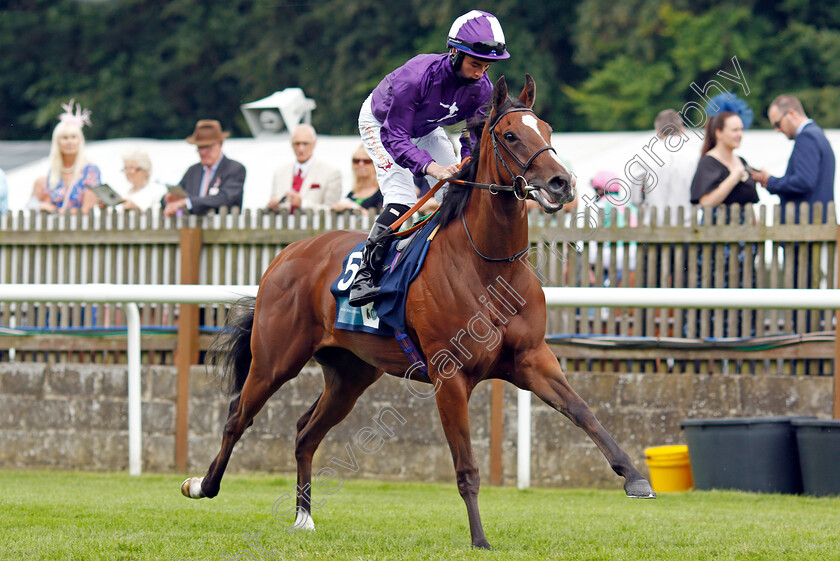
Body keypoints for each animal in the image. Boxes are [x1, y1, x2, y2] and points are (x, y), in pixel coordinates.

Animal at [182, 73, 656, 548]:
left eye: (548, 130)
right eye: (509, 135)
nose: (562, 183)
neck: (487, 265)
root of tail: (287, 253)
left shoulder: (532, 359)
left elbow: (583, 412)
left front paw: (635, 477)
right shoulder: (450, 377)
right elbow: (466, 466)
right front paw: (480, 540)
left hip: (350, 374)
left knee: (304, 431)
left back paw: (304, 517)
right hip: (275, 359)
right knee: (237, 418)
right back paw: (202, 485)